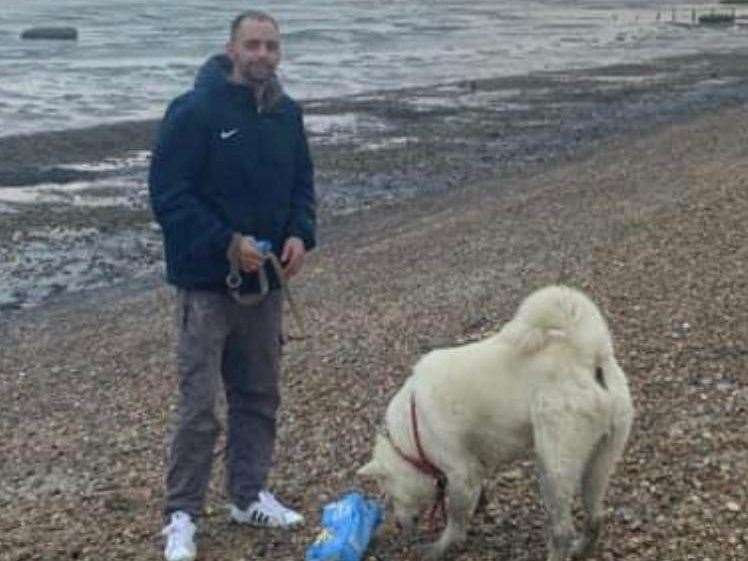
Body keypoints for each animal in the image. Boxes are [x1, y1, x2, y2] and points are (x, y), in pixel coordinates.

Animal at [360, 286, 636, 556]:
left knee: (562, 531)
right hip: (600, 460)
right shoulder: (473, 467)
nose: (398, 523)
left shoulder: (460, 473)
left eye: (390, 495)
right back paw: (582, 548)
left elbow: (455, 519)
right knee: (595, 515)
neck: (412, 432)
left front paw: (441, 546)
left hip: (553, 466)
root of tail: (588, 353)